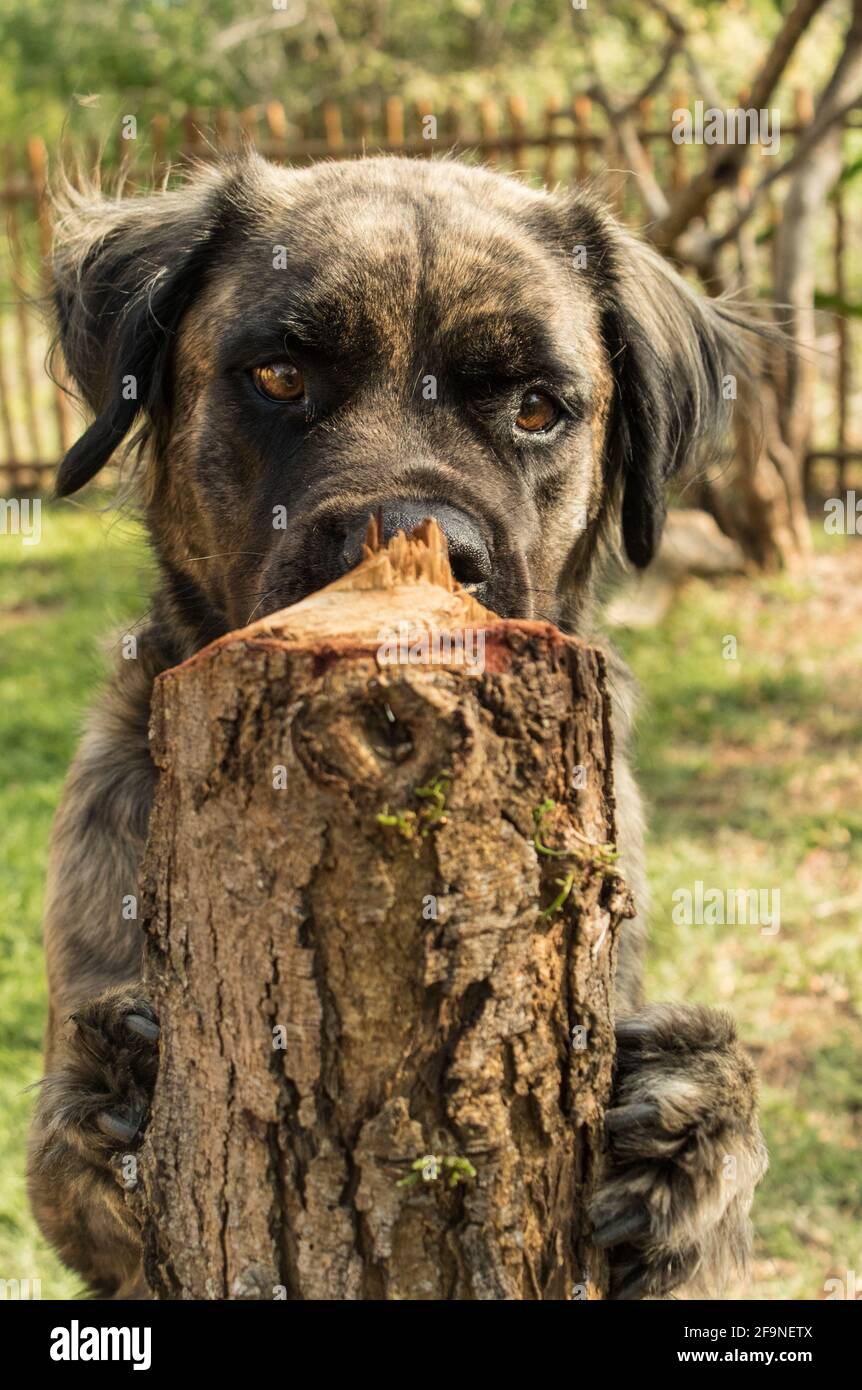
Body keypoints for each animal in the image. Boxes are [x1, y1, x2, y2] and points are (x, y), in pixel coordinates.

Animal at [28, 154, 767, 1301]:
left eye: (536, 408)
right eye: (280, 375)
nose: (410, 541)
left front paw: (691, 1132)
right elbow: (72, 1147)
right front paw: (122, 1094)